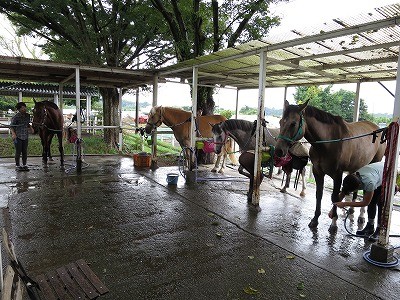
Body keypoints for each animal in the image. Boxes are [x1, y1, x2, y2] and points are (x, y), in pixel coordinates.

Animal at [276, 101, 384, 232]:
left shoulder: (337, 175)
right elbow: (319, 194)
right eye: (280, 122)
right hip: (355, 168)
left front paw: (334, 222)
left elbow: (335, 198)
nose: (278, 150)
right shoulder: (317, 171)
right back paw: (352, 210)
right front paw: (315, 220)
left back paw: (362, 215)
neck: (328, 142)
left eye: (293, 123)